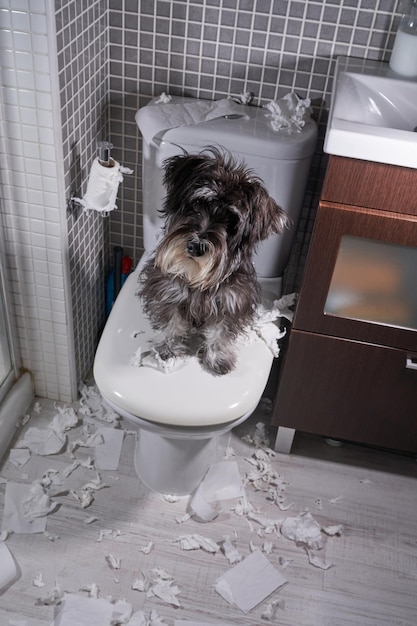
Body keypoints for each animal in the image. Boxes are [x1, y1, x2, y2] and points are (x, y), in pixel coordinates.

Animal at [138, 145, 288, 376]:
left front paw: (218, 358)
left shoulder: (232, 302)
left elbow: (221, 332)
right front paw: (167, 351)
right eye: (198, 203)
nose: (195, 247)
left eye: (231, 220)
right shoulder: (168, 292)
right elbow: (171, 323)